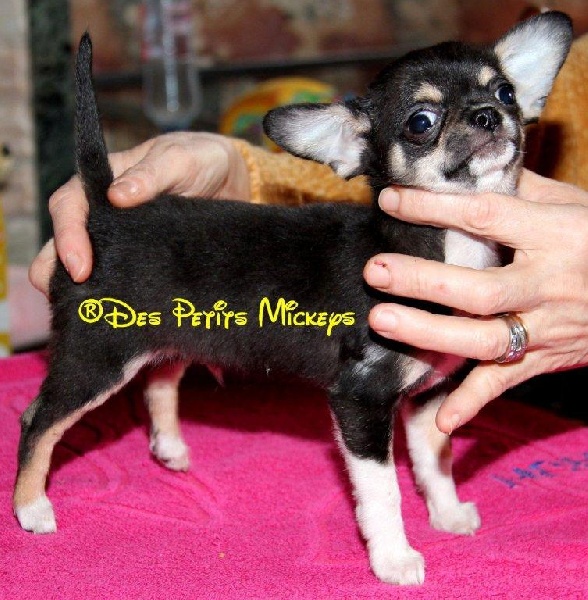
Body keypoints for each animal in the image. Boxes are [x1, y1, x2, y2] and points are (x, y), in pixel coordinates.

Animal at [14, 12, 572, 585]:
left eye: (506, 91)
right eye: (421, 121)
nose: (489, 114)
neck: (449, 246)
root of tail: (104, 211)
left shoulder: (429, 395)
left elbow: (436, 458)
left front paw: (447, 513)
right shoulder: (360, 399)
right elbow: (383, 492)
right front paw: (394, 558)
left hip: (168, 337)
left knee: (160, 378)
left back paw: (168, 447)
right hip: (97, 356)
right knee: (38, 420)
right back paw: (32, 507)